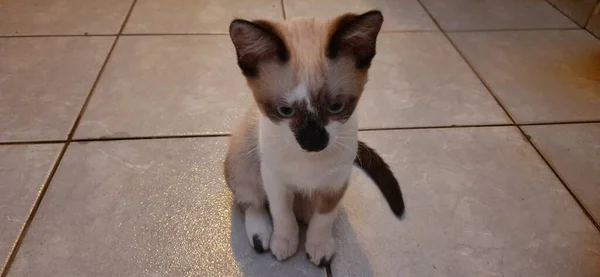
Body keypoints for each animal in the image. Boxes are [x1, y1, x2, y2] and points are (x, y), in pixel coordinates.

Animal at [226, 10, 408, 266]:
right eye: (285, 111)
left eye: (336, 107)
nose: (314, 142)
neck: (308, 162)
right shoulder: (274, 179)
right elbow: (282, 213)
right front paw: (285, 241)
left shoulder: (336, 182)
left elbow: (324, 218)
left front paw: (318, 245)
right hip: (243, 159)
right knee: (251, 200)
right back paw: (262, 235)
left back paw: (304, 210)